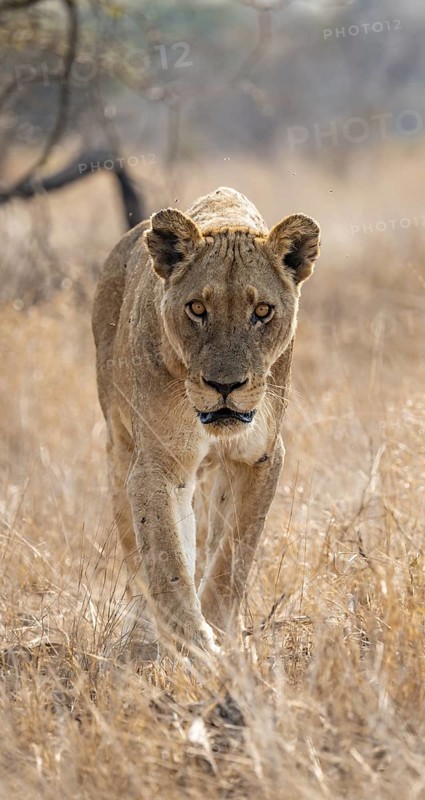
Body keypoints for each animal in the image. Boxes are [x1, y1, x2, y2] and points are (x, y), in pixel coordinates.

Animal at [92, 186, 320, 655]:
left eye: (262, 311)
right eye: (197, 308)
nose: (224, 385)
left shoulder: (260, 457)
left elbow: (233, 556)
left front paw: (221, 637)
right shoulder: (158, 464)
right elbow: (166, 560)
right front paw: (197, 645)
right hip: (119, 449)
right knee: (137, 554)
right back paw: (143, 635)